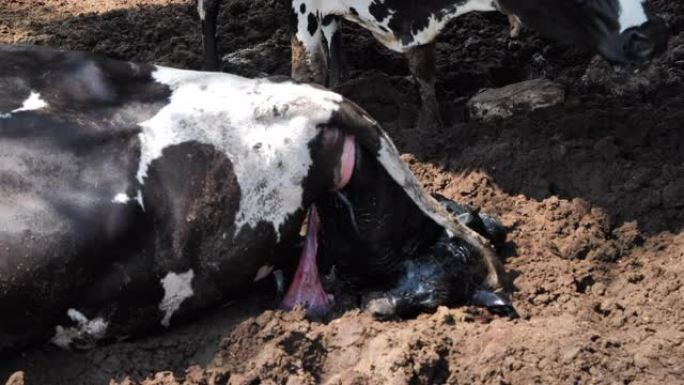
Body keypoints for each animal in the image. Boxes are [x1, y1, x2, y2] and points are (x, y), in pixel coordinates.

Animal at [198, 0, 668, 130]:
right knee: (207, 12)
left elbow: (422, 69)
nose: (652, 35)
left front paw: (431, 128)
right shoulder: (304, 11)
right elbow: (306, 74)